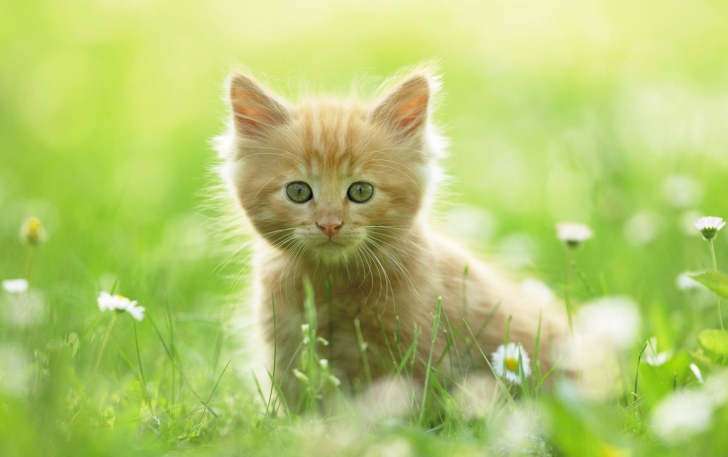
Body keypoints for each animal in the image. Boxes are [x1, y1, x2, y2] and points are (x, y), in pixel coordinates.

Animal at [216, 66, 568, 400]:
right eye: (298, 191)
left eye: (360, 191)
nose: (329, 224)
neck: (333, 282)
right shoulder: (286, 343)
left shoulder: (418, 347)